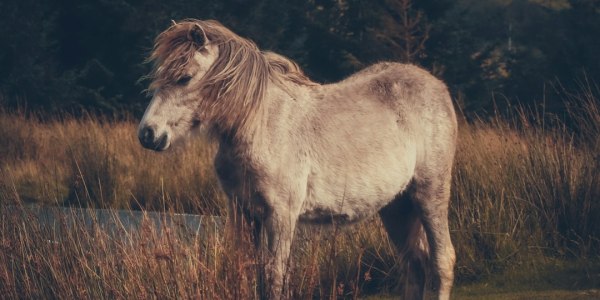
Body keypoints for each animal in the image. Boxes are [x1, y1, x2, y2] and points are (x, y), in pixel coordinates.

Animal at [139, 19, 460, 298]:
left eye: (185, 78)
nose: (148, 134)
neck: (261, 124)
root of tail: (438, 87)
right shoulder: (243, 212)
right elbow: (250, 273)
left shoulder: (281, 215)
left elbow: (274, 278)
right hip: (396, 207)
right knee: (415, 267)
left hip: (429, 194)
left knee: (442, 261)